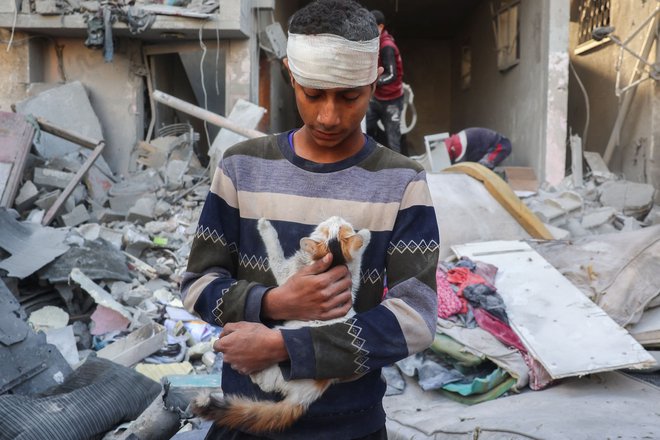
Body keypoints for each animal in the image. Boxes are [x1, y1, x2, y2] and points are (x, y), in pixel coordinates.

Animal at [192, 217, 372, 434]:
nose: (336, 217)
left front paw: (265, 227)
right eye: (331, 226)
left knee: (267, 384)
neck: (333, 263)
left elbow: (274, 252)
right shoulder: (351, 276)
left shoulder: (286, 272)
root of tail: (306, 396)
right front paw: (365, 235)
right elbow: (357, 260)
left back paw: (254, 373)